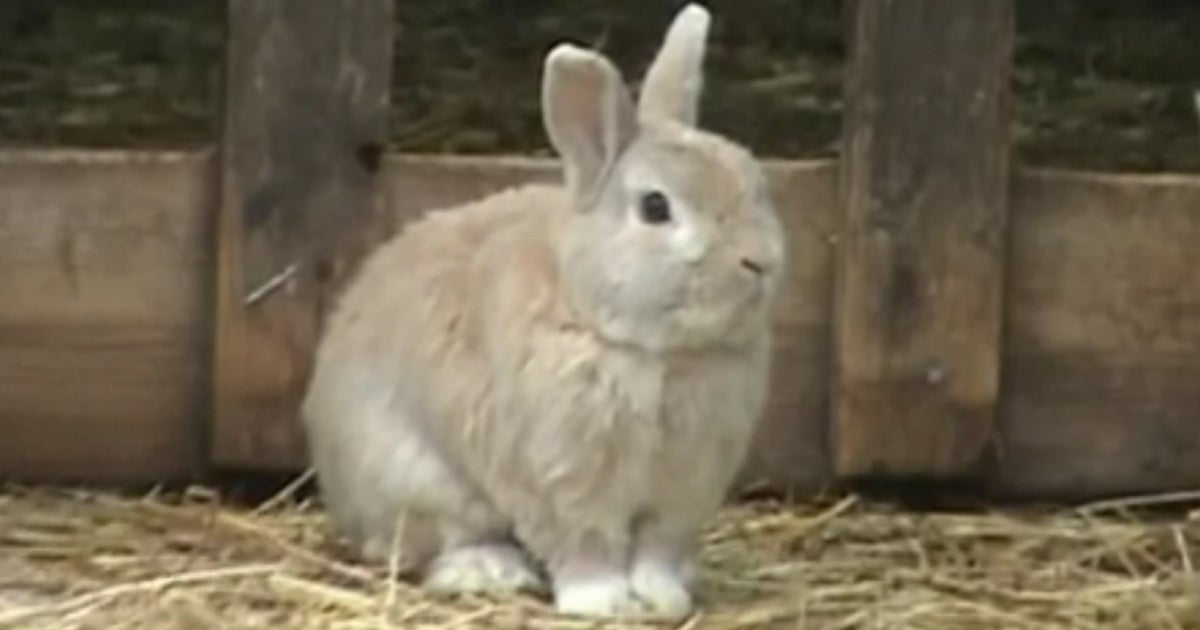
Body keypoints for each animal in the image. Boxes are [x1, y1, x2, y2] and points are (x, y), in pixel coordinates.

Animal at [300, 3, 787, 621]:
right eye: (656, 208)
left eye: (754, 179)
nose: (761, 261)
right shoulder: (561, 480)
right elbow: (585, 546)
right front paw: (601, 603)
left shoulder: (679, 493)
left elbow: (655, 550)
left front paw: (662, 599)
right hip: (420, 484)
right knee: (434, 543)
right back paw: (489, 571)